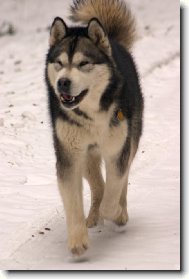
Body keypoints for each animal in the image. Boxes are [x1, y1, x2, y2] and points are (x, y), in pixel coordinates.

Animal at [45, 0, 144, 258]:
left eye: (83, 64)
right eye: (59, 63)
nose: (63, 82)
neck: (91, 114)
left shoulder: (117, 150)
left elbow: (114, 192)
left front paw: (117, 213)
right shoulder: (69, 155)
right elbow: (73, 201)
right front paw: (77, 240)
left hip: (130, 139)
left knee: (121, 180)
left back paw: (120, 210)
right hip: (86, 152)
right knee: (97, 184)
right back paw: (93, 215)